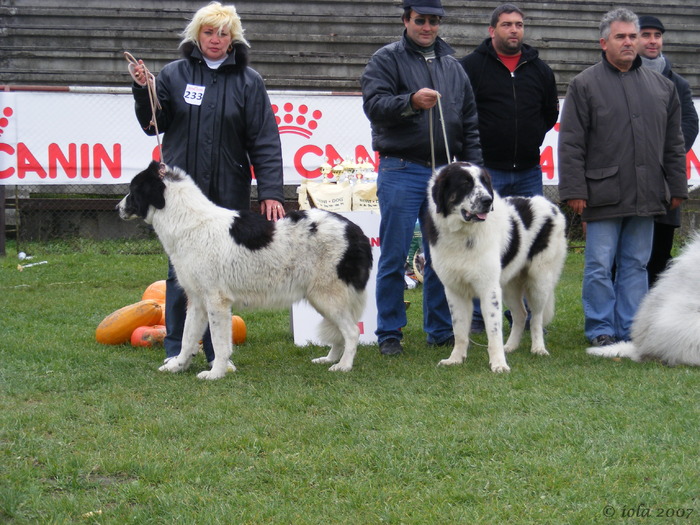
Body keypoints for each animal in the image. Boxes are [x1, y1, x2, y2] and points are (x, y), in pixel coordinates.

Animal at [119, 162, 372, 378]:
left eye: (132, 190)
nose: (117, 207)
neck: (188, 222)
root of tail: (356, 230)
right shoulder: (197, 300)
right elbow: (187, 338)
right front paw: (178, 366)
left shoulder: (216, 301)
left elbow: (219, 342)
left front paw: (216, 373)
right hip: (323, 299)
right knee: (340, 333)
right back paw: (330, 359)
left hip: (328, 296)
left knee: (351, 331)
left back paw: (343, 366)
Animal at [426, 162, 568, 370]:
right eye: (465, 184)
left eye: (485, 182)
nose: (487, 200)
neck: (464, 234)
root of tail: (550, 205)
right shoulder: (454, 290)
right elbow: (459, 330)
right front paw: (455, 359)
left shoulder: (489, 288)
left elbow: (493, 331)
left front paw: (499, 364)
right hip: (509, 285)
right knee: (521, 314)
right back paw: (510, 346)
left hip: (539, 281)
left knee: (536, 317)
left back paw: (538, 348)